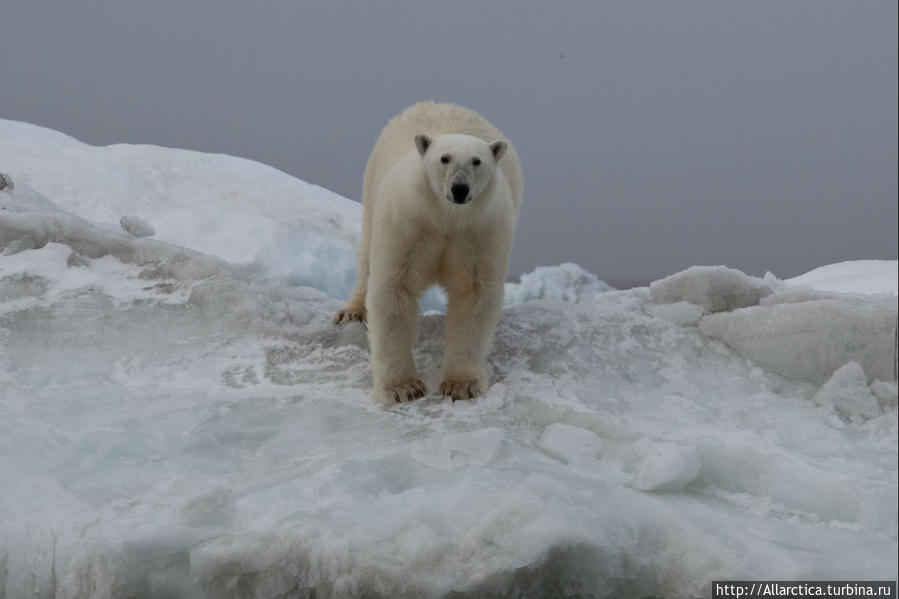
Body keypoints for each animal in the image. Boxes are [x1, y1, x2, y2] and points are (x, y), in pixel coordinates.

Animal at [334, 102, 524, 404]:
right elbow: (393, 288)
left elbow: (474, 293)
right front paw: (402, 388)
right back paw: (351, 311)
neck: (446, 219)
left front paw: (460, 385)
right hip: (373, 185)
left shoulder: (481, 232)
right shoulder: (407, 223)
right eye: (444, 158)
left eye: (477, 161)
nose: (460, 188)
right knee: (366, 253)